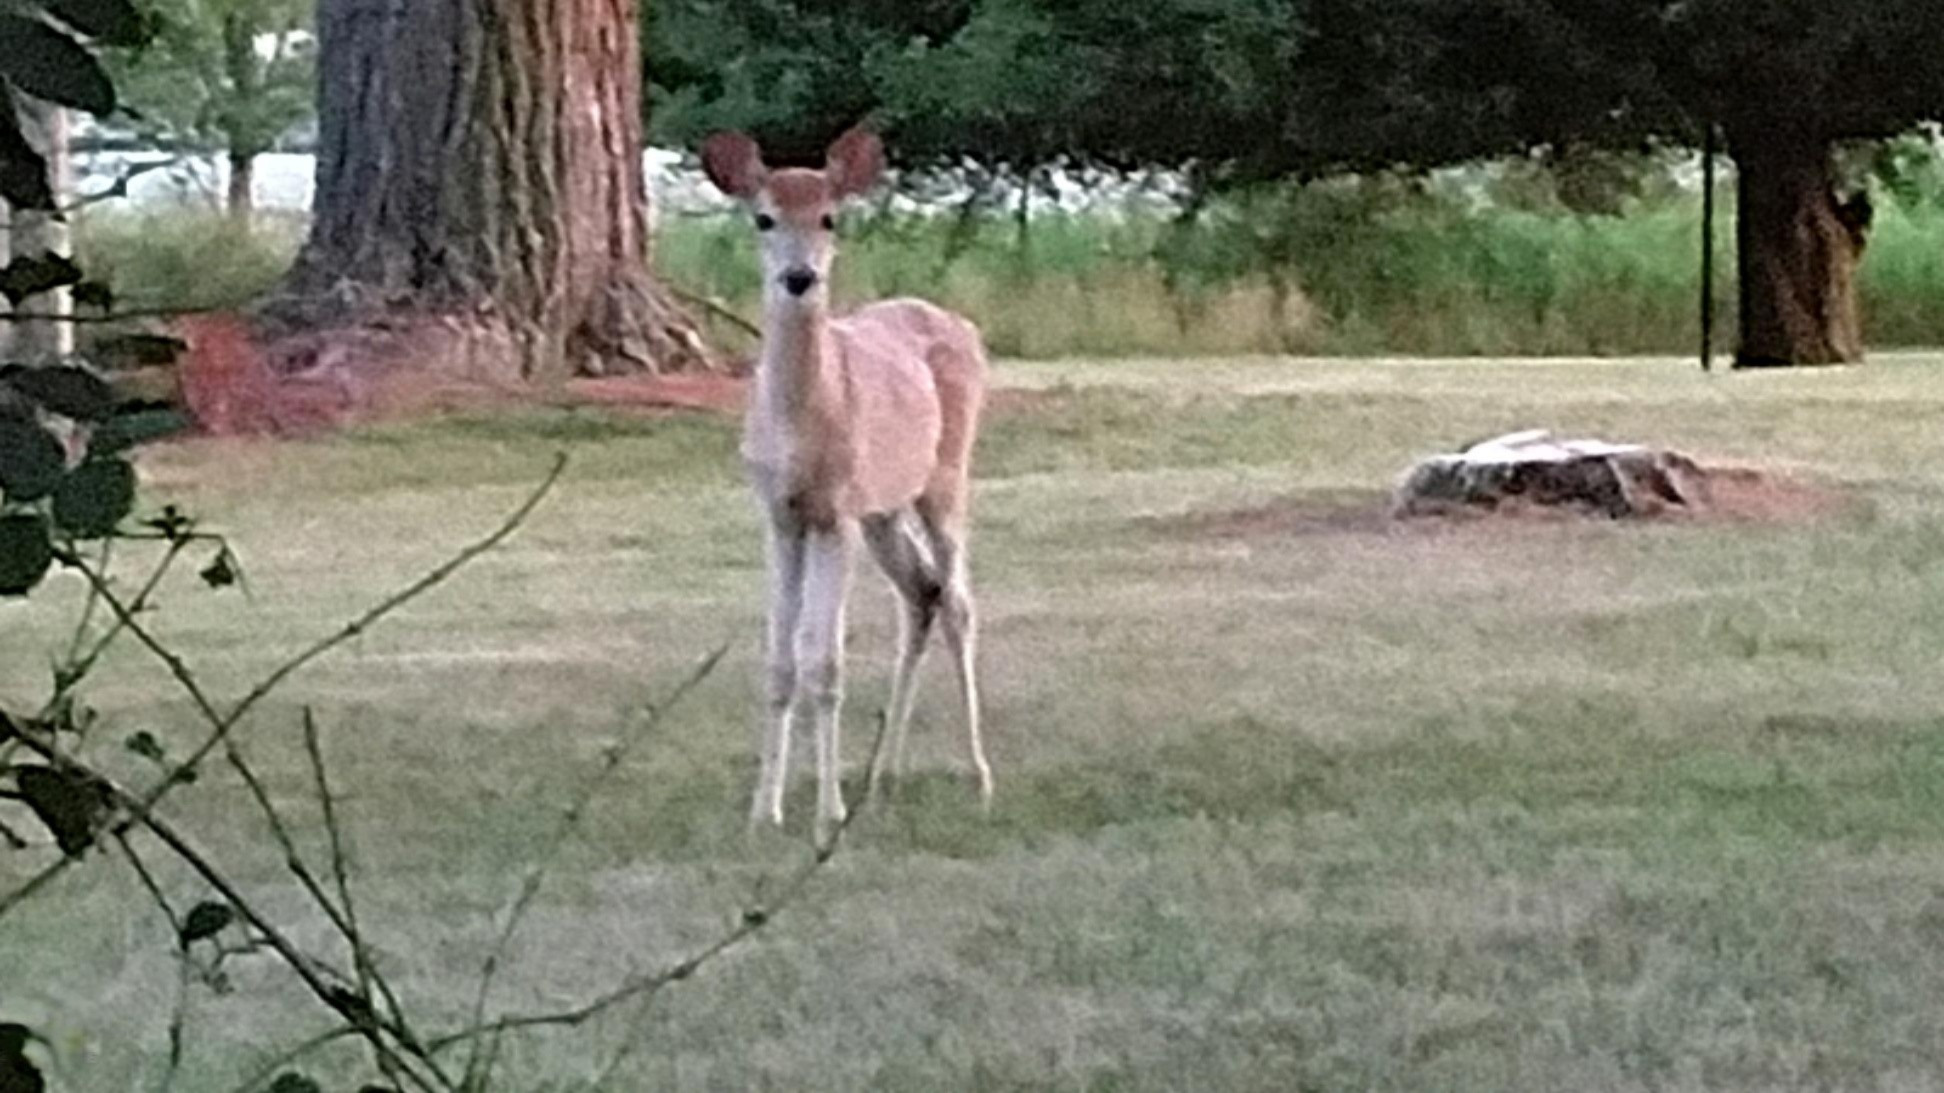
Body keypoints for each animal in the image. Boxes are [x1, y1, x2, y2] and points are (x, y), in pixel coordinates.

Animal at [701, 126, 992, 840]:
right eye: (764, 217)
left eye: (830, 217)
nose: (800, 277)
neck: (804, 426)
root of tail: (967, 327)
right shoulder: (780, 515)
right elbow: (781, 662)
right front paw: (764, 811)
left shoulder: (836, 514)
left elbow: (825, 664)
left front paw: (825, 814)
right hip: (884, 511)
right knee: (923, 593)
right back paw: (882, 778)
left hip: (945, 477)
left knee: (959, 602)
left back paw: (979, 778)